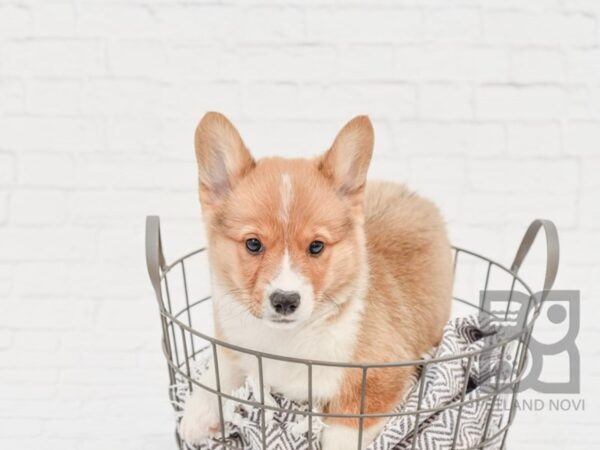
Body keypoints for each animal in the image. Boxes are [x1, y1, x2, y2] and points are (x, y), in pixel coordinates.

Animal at [180, 112, 452, 450]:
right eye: (253, 244)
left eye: (316, 246)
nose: (285, 300)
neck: (287, 340)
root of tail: (417, 197)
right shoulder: (236, 343)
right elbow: (220, 370)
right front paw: (196, 416)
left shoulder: (379, 378)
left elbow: (342, 431)